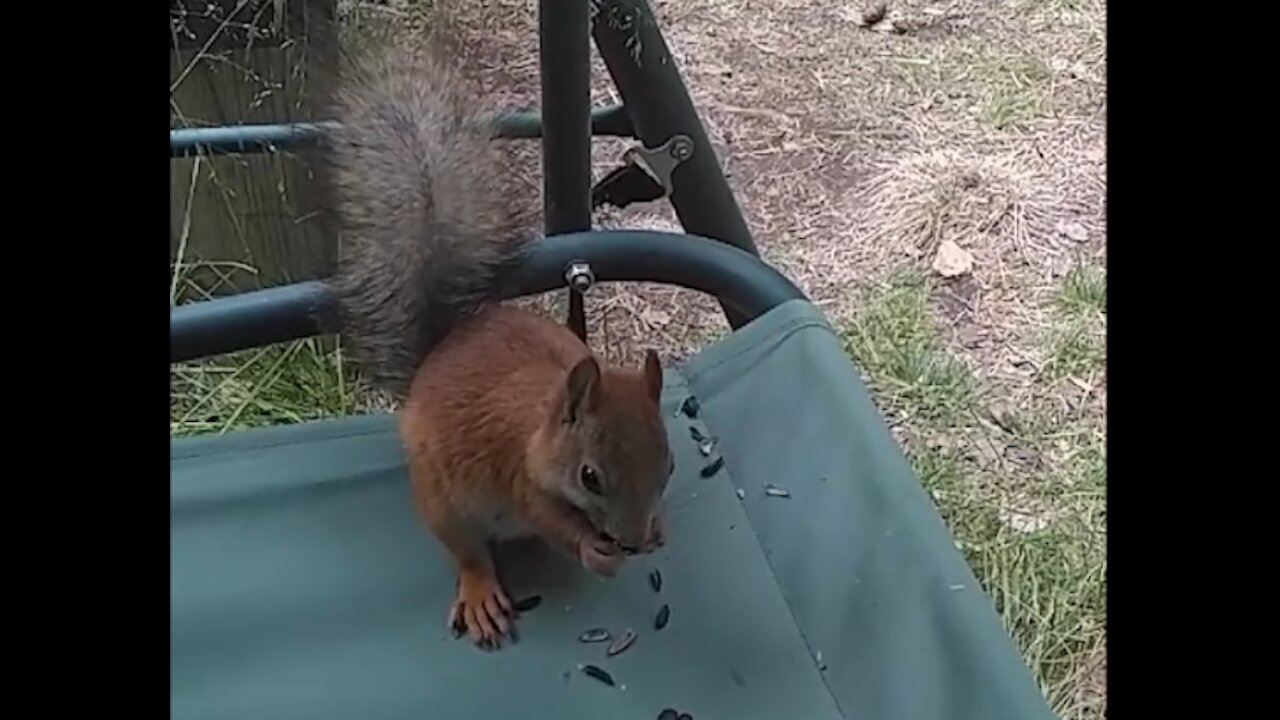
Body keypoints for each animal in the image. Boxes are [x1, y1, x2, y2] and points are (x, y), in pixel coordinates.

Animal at [320, 29, 675, 650]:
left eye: (668, 462)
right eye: (589, 476)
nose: (631, 542)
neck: (545, 418)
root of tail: (440, 350)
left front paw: (655, 530)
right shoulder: (517, 472)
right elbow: (550, 520)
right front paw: (593, 551)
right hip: (443, 503)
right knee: (468, 553)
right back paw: (481, 589)